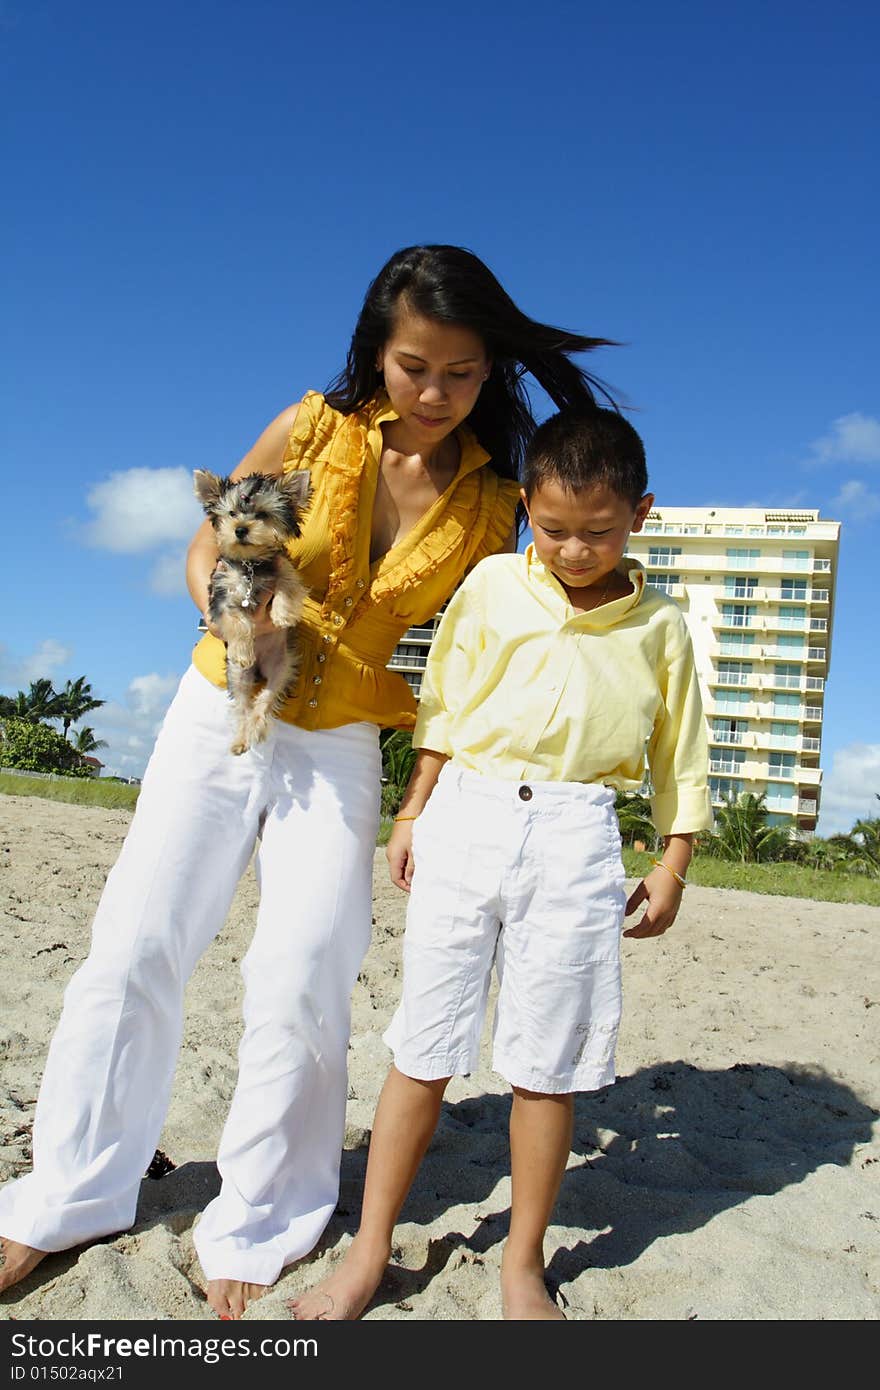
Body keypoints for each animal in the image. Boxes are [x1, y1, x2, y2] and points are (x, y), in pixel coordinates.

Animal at [193, 467, 310, 756]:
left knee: (266, 699)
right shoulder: (221, 596)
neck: (250, 564)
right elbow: (237, 620)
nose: (240, 529)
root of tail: (260, 672)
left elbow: (287, 583)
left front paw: (282, 614)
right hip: (238, 676)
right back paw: (240, 739)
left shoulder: (282, 566)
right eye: (232, 513)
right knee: (243, 704)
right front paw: (243, 649)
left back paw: (256, 727)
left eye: (263, 515)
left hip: (282, 666)